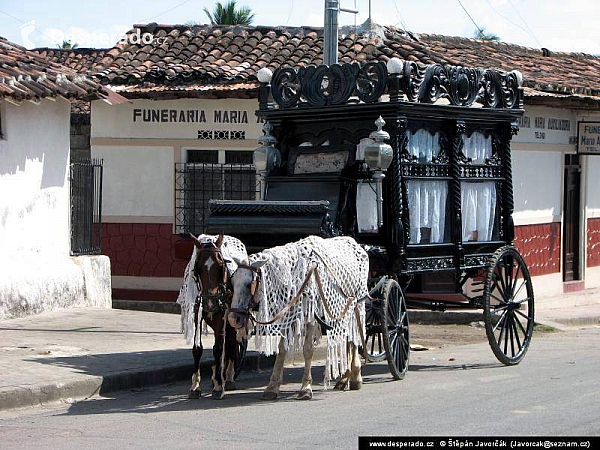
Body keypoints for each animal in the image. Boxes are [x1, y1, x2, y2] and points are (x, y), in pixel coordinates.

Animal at [189, 234, 247, 400]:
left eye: (220, 265)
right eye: (198, 267)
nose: (211, 302)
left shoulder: (223, 319)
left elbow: (219, 348)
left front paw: (219, 386)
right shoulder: (197, 316)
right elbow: (197, 349)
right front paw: (195, 386)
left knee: (231, 343)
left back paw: (228, 377)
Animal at [227, 237, 368, 400]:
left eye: (250, 284)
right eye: (232, 282)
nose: (233, 319)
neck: (296, 276)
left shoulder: (311, 317)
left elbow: (308, 349)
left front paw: (306, 388)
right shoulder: (288, 315)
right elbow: (282, 349)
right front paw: (272, 387)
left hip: (355, 306)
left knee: (353, 340)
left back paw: (355, 377)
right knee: (346, 339)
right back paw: (344, 378)